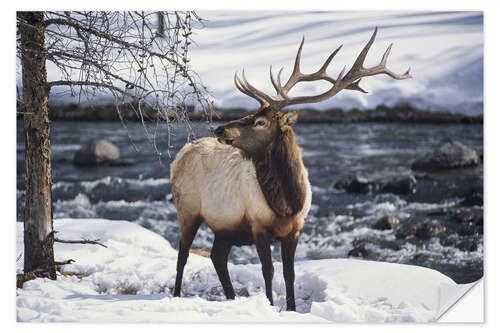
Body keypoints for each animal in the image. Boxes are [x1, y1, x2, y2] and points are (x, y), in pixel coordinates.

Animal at [170, 27, 412, 310]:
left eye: (260, 121)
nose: (220, 129)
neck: (286, 203)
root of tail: (181, 153)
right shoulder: (257, 226)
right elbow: (268, 271)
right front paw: (271, 305)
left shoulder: (295, 229)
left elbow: (289, 273)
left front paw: (292, 308)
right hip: (187, 209)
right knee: (183, 254)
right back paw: (176, 295)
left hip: (225, 226)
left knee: (217, 256)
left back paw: (230, 298)